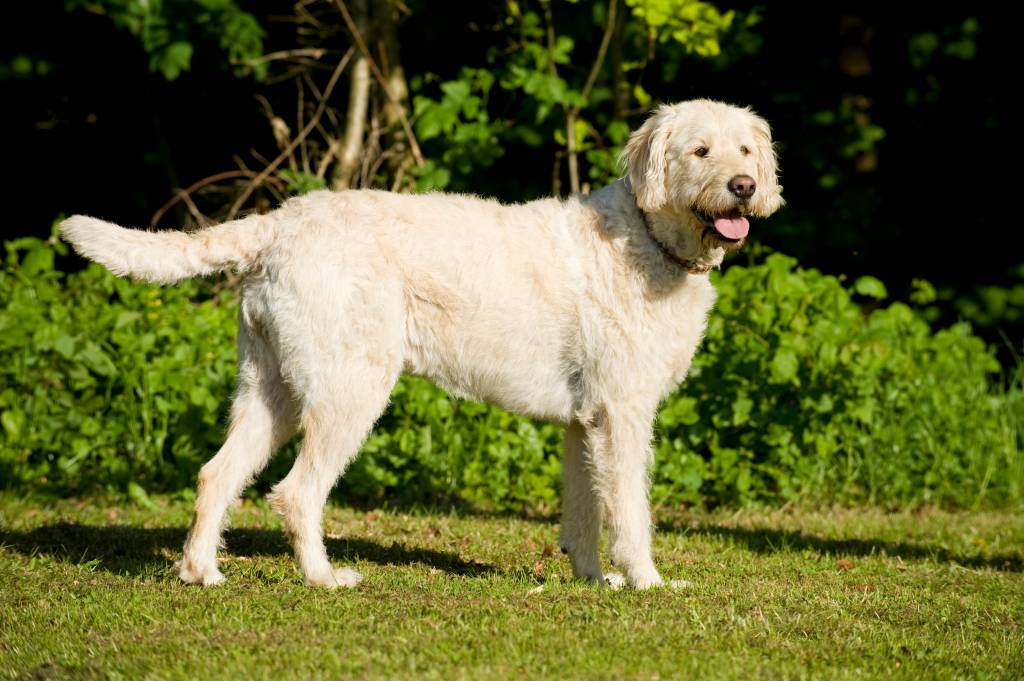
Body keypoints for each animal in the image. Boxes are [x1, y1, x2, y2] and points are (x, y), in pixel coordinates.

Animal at [61, 99, 783, 589]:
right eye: (700, 151)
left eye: (745, 152)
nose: (744, 187)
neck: (648, 236)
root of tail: (278, 222)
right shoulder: (623, 414)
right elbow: (630, 510)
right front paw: (646, 582)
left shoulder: (586, 422)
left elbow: (583, 513)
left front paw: (591, 578)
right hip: (349, 392)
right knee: (297, 491)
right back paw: (324, 578)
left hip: (271, 392)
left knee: (217, 473)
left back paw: (202, 571)